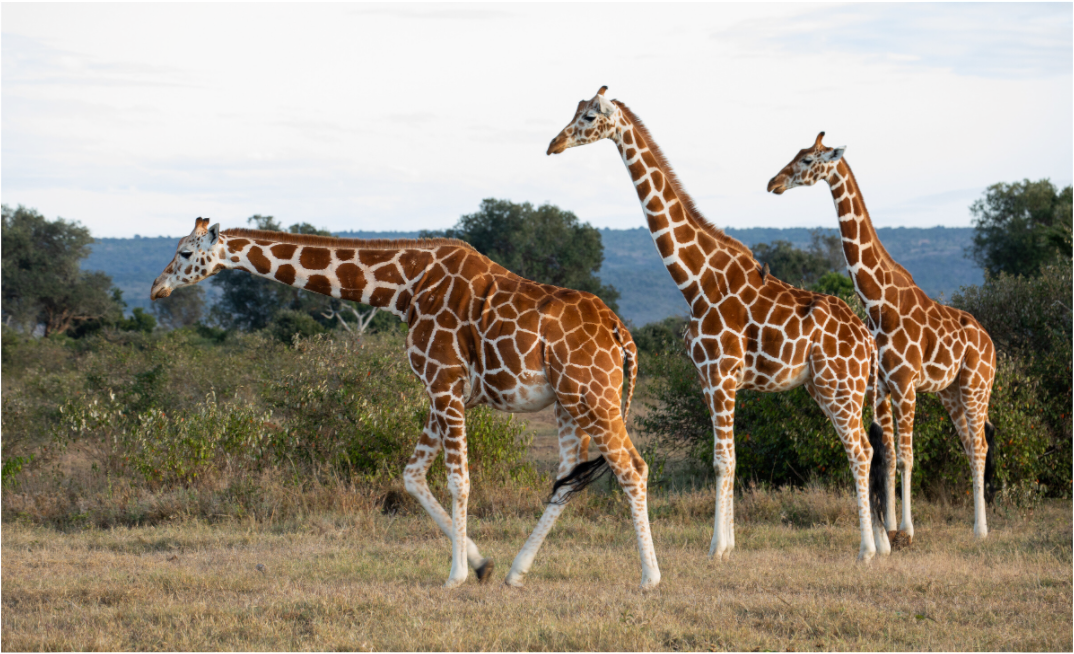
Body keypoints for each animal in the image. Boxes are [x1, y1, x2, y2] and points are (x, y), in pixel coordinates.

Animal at [150, 217, 661, 589]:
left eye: (186, 252)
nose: (157, 288)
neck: (403, 286)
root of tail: (622, 333)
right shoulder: (444, 391)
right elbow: (412, 476)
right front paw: (481, 566)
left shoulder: (444, 381)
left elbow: (459, 480)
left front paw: (455, 576)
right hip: (567, 401)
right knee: (567, 478)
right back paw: (517, 573)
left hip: (592, 393)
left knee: (631, 467)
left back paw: (650, 578)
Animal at [547, 87, 891, 561]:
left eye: (590, 116)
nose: (554, 144)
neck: (695, 280)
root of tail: (867, 339)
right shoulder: (709, 378)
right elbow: (726, 459)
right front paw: (727, 545)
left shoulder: (720, 374)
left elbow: (722, 460)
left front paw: (716, 548)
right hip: (834, 389)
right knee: (869, 449)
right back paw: (879, 544)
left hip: (841, 386)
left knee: (860, 451)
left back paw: (866, 551)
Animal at [767, 133, 997, 542]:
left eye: (808, 159)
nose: (773, 183)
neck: (878, 302)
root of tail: (991, 343)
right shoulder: (881, 388)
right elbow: (887, 456)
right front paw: (888, 528)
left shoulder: (905, 383)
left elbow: (906, 457)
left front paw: (906, 530)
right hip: (951, 391)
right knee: (971, 445)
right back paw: (975, 525)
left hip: (976, 385)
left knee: (981, 445)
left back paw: (981, 529)